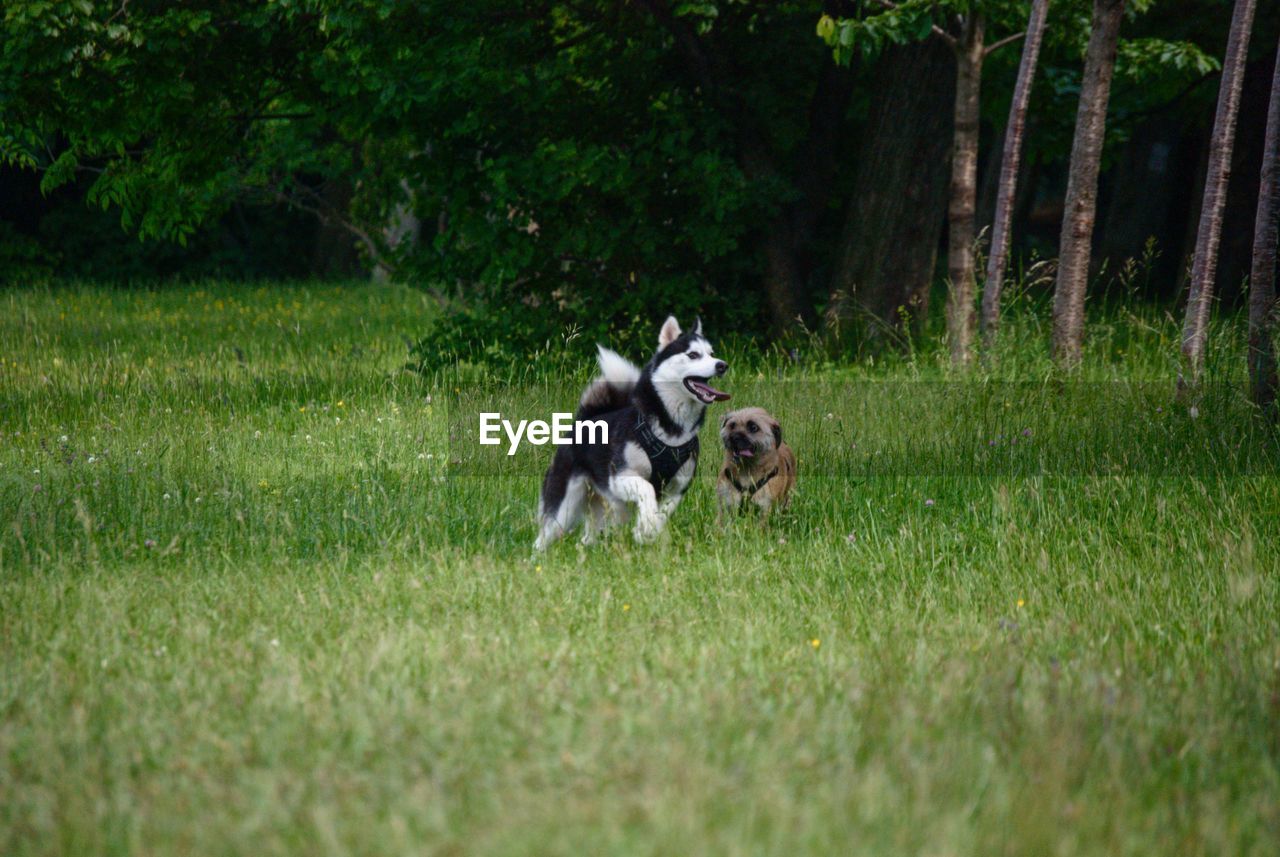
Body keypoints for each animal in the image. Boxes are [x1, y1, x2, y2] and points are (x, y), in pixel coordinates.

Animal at [532, 315, 732, 550]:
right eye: (692, 354)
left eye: (711, 353)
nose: (722, 365)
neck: (671, 431)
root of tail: (585, 419)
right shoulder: (620, 479)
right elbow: (647, 489)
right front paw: (646, 525)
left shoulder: (677, 489)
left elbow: (662, 513)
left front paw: (646, 529)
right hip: (565, 509)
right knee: (545, 534)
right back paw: (535, 555)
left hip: (612, 509)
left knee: (588, 537)